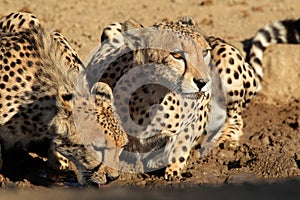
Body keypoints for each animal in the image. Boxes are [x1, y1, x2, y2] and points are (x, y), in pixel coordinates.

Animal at [86, 17, 300, 180]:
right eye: (176, 55)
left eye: (204, 52)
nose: (203, 82)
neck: (154, 94)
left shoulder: (197, 116)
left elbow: (182, 140)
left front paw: (170, 166)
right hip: (111, 28)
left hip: (228, 60)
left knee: (235, 119)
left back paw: (222, 141)